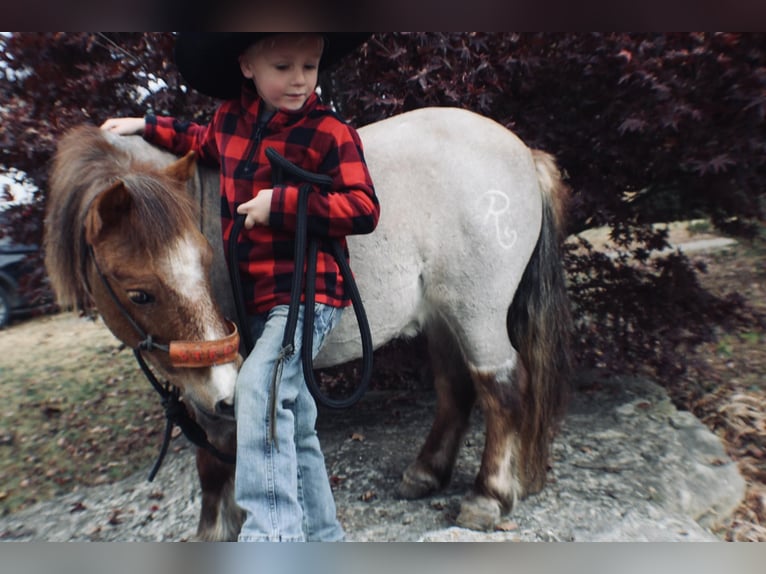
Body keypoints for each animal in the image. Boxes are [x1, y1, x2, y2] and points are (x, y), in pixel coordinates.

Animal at [42, 108, 568, 544]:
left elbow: (216, 451)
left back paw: (488, 496)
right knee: (454, 388)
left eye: (205, 264)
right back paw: (425, 473)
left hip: (476, 313)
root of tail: (524, 152)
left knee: (500, 389)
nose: (226, 384)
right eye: (139, 294)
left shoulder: (216, 383)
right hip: (441, 317)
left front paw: (219, 528)